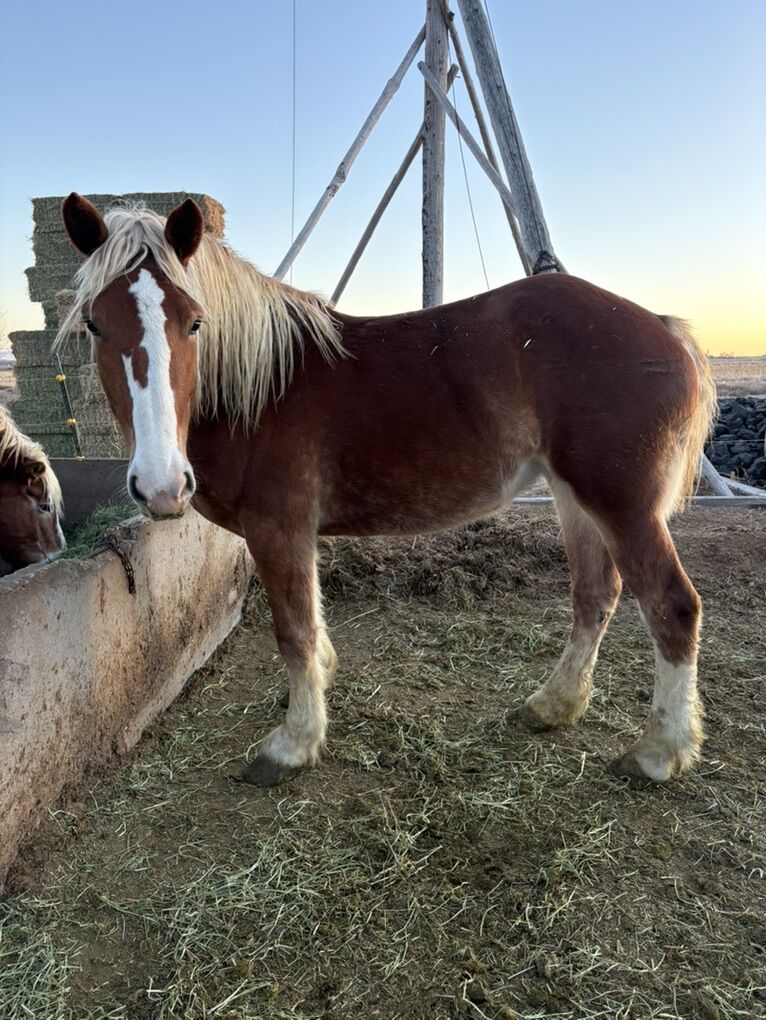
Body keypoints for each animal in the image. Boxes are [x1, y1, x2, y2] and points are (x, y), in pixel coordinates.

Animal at [58, 193, 716, 788]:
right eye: (94, 323)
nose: (162, 485)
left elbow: (293, 630)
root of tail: (665, 329)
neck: (260, 386)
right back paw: (553, 706)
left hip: (621, 506)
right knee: (595, 596)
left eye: (194, 321)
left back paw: (660, 751)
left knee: (672, 607)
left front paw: (293, 744)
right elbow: (312, 621)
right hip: (575, 499)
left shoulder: (278, 528)